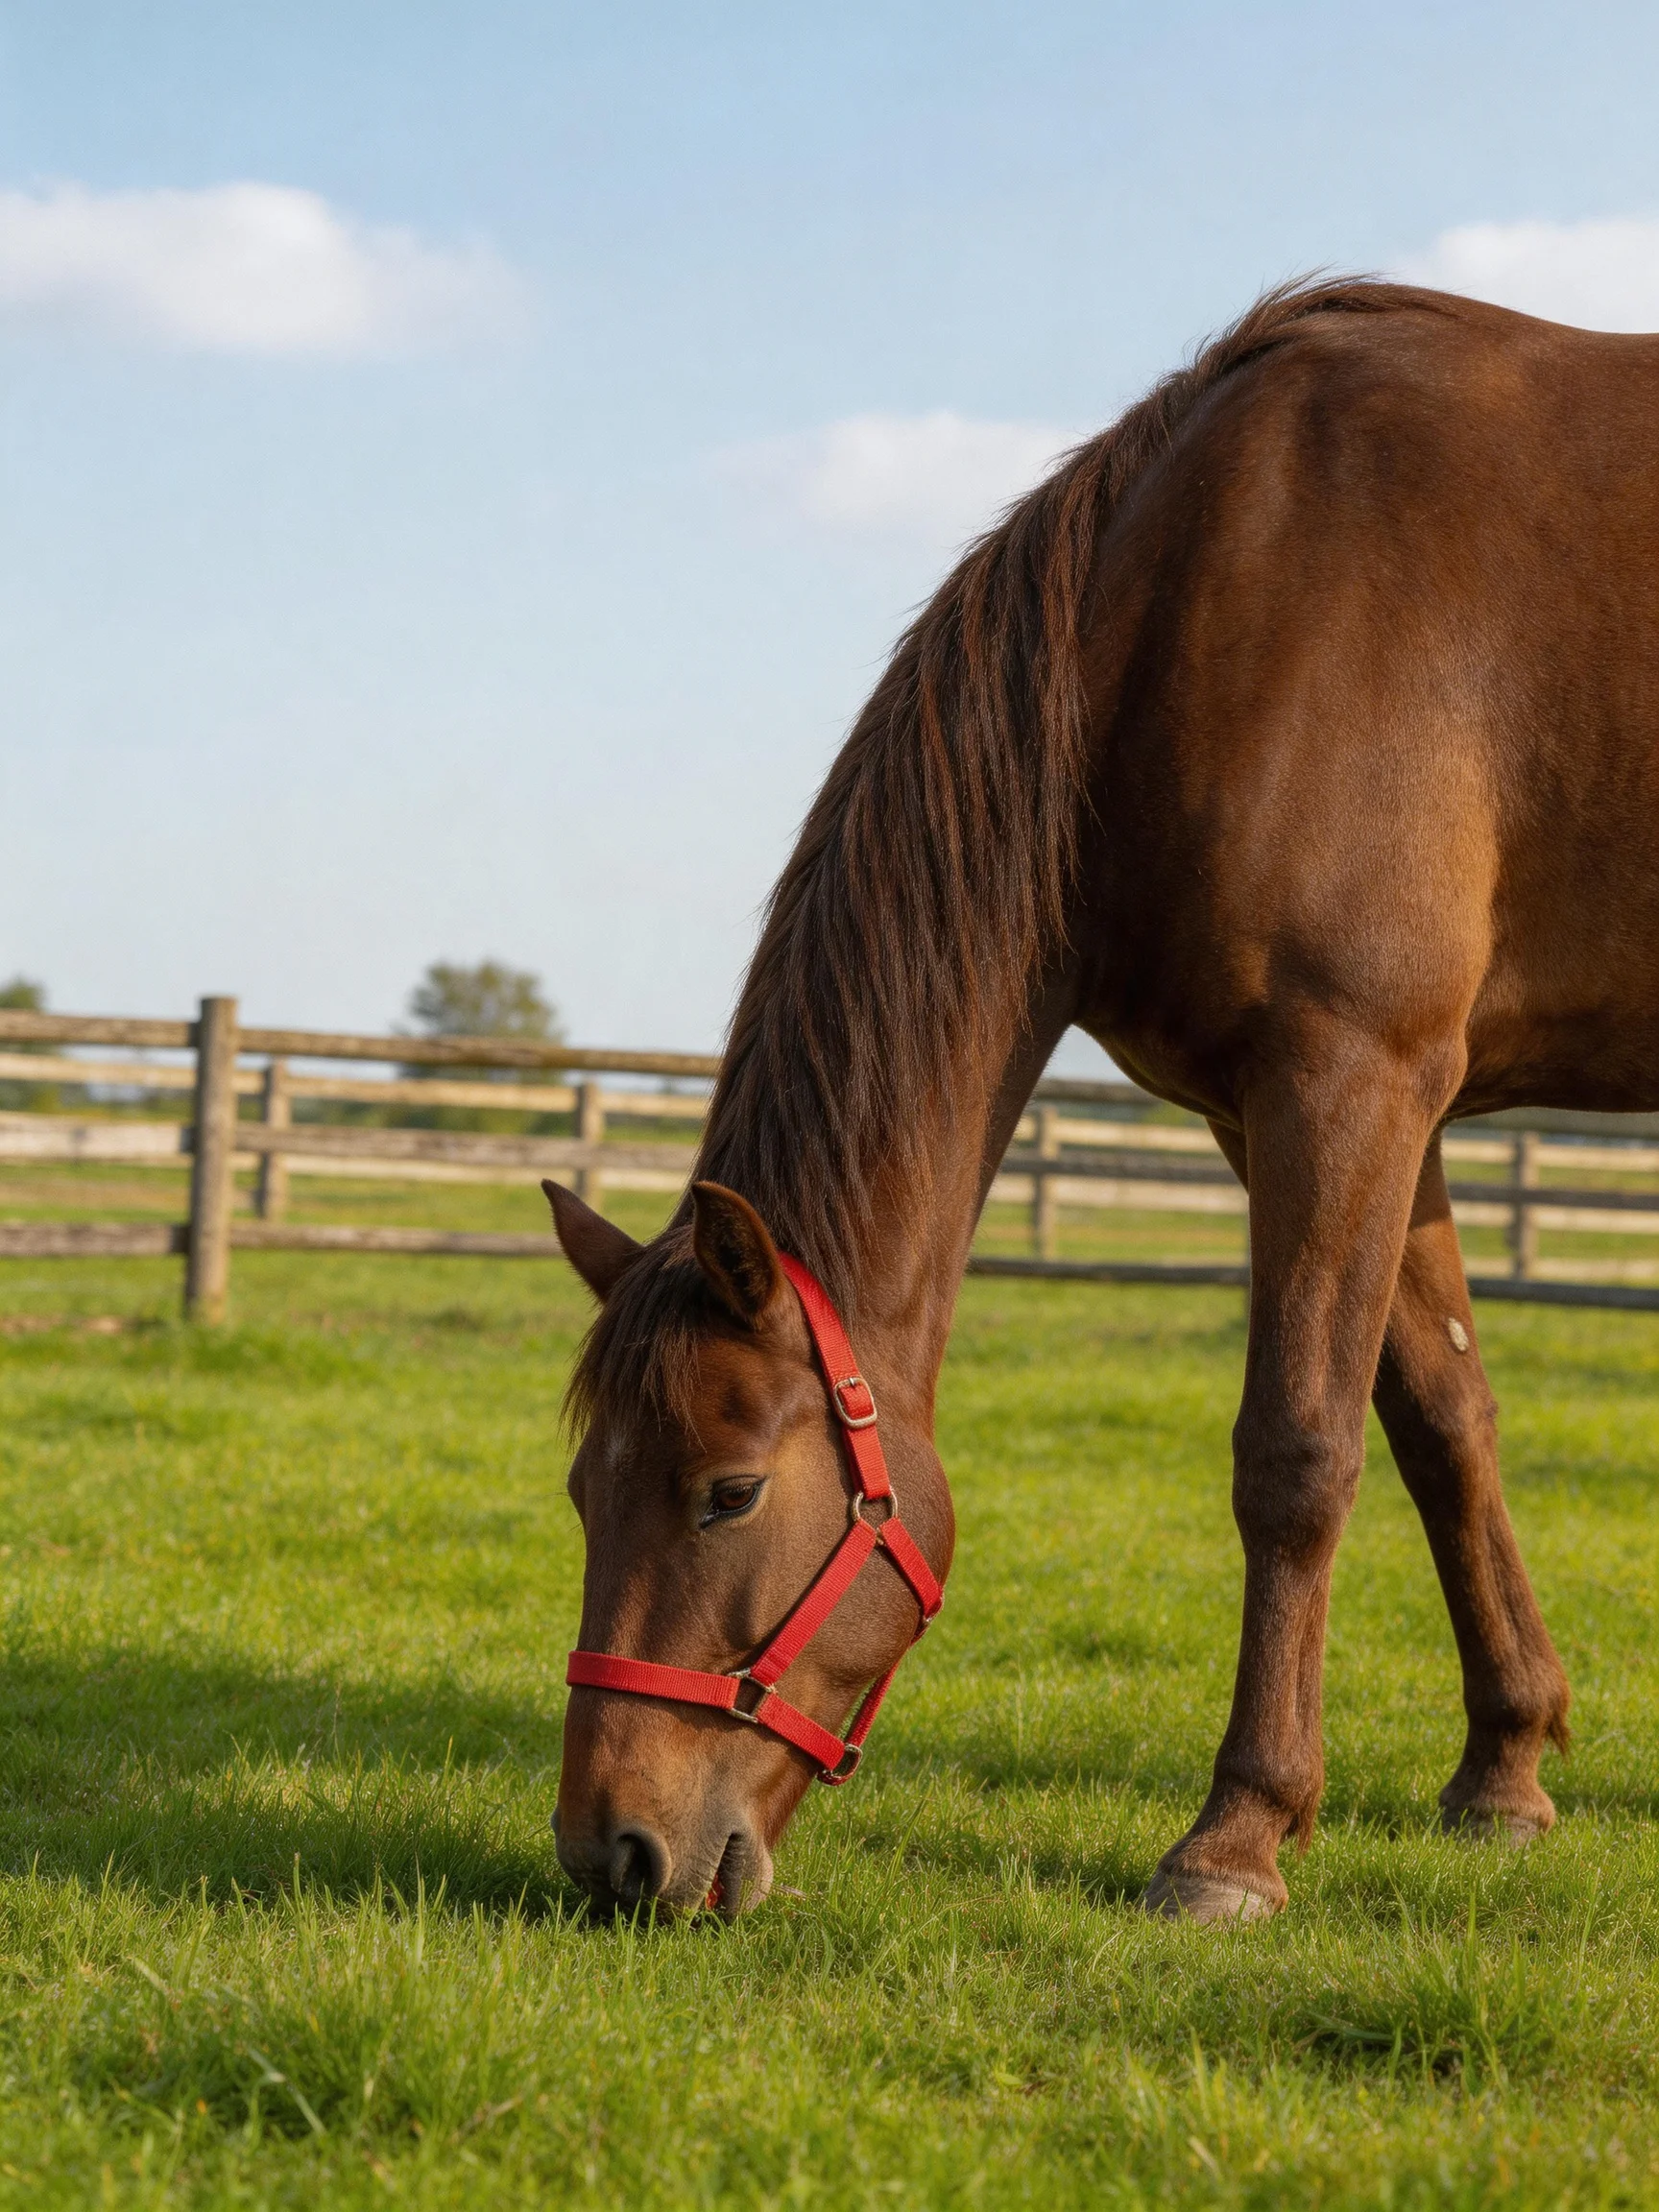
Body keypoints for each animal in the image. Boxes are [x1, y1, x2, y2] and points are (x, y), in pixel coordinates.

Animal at [544, 277, 1658, 1922]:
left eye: (729, 1493)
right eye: (581, 1488)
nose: (612, 1854)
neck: (1192, 603)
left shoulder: (1345, 1074)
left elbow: (1299, 1453)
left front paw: (1238, 1835)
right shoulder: (1355, 1107)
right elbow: (1442, 1423)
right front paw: (1505, 1771)